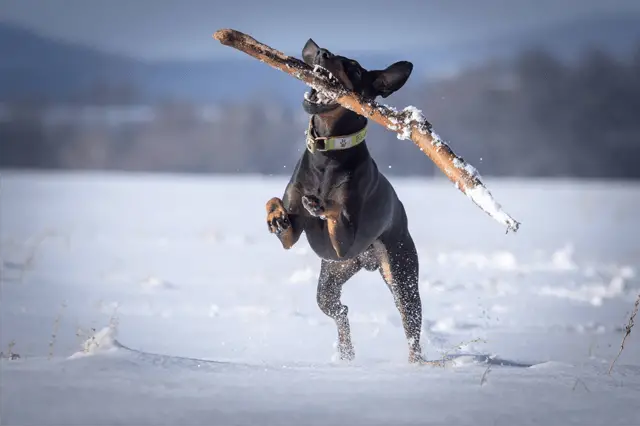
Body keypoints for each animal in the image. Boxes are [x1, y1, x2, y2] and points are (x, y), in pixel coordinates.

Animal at [262, 39, 422, 362]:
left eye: (356, 69)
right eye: (330, 53)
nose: (322, 54)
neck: (328, 152)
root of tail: (367, 261)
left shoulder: (345, 241)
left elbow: (338, 213)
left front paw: (321, 205)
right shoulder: (294, 235)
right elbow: (276, 205)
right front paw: (276, 216)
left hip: (400, 273)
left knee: (411, 326)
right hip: (332, 276)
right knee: (339, 309)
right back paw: (346, 355)